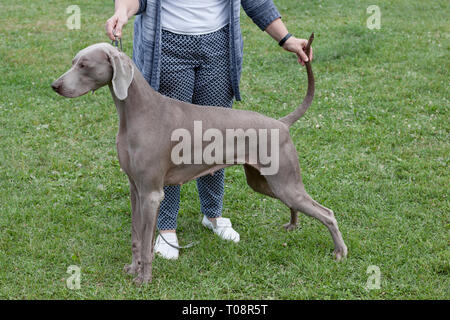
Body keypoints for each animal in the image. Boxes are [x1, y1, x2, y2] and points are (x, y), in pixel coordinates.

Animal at [52, 34, 348, 284]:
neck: (137, 112)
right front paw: (133, 269)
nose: (55, 85)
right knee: (295, 204)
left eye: (84, 65)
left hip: (283, 180)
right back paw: (293, 224)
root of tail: (281, 123)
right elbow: (137, 236)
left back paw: (340, 251)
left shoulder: (151, 193)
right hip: (266, 181)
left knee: (327, 213)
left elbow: (146, 241)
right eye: (73, 62)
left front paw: (144, 279)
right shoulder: (135, 189)